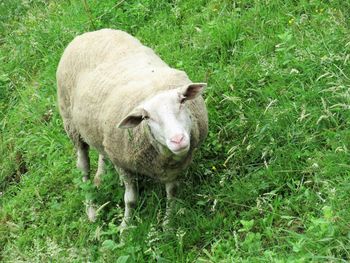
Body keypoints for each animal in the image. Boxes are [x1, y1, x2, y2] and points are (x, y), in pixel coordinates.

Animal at [55, 29, 206, 230]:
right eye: (146, 117)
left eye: (182, 101)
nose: (178, 140)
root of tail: (87, 33)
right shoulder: (123, 164)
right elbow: (131, 200)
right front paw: (125, 227)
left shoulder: (171, 168)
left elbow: (172, 192)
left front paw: (168, 224)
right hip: (71, 125)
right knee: (83, 169)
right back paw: (91, 209)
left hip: (98, 131)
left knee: (101, 151)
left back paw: (100, 176)